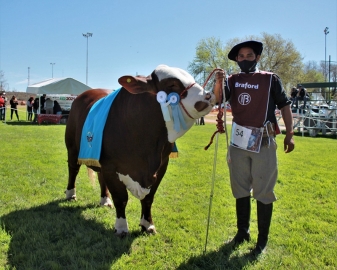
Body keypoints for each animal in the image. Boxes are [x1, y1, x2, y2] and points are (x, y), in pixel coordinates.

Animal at [64, 64, 214, 235]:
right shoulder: (111, 166)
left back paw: (105, 200)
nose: (208, 96)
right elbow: (121, 198)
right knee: (73, 169)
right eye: (172, 84)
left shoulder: (162, 165)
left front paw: (147, 224)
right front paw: (121, 227)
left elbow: (148, 198)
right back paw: (71, 194)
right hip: (72, 147)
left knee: (101, 177)